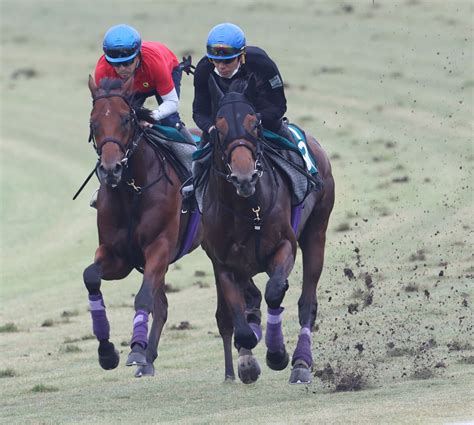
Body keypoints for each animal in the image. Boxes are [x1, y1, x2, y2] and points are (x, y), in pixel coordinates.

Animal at [84, 74, 201, 376]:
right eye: (93, 122)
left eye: (126, 119)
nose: (110, 169)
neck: (132, 191)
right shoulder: (118, 256)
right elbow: (91, 277)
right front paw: (107, 353)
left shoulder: (159, 247)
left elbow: (143, 297)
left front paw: (136, 349)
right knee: (163, 305)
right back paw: (148, 360)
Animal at [199, 76, 334, 384]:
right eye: (218, 128)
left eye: (255, 122)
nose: (244, 177)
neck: (249, 209)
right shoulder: (223, 263)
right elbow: (242, 321)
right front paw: (248, 358)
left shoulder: (285, 245)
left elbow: (274, 292)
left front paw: (277, 353)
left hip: (316, 232)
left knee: (306, 302)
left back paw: (300, 362)